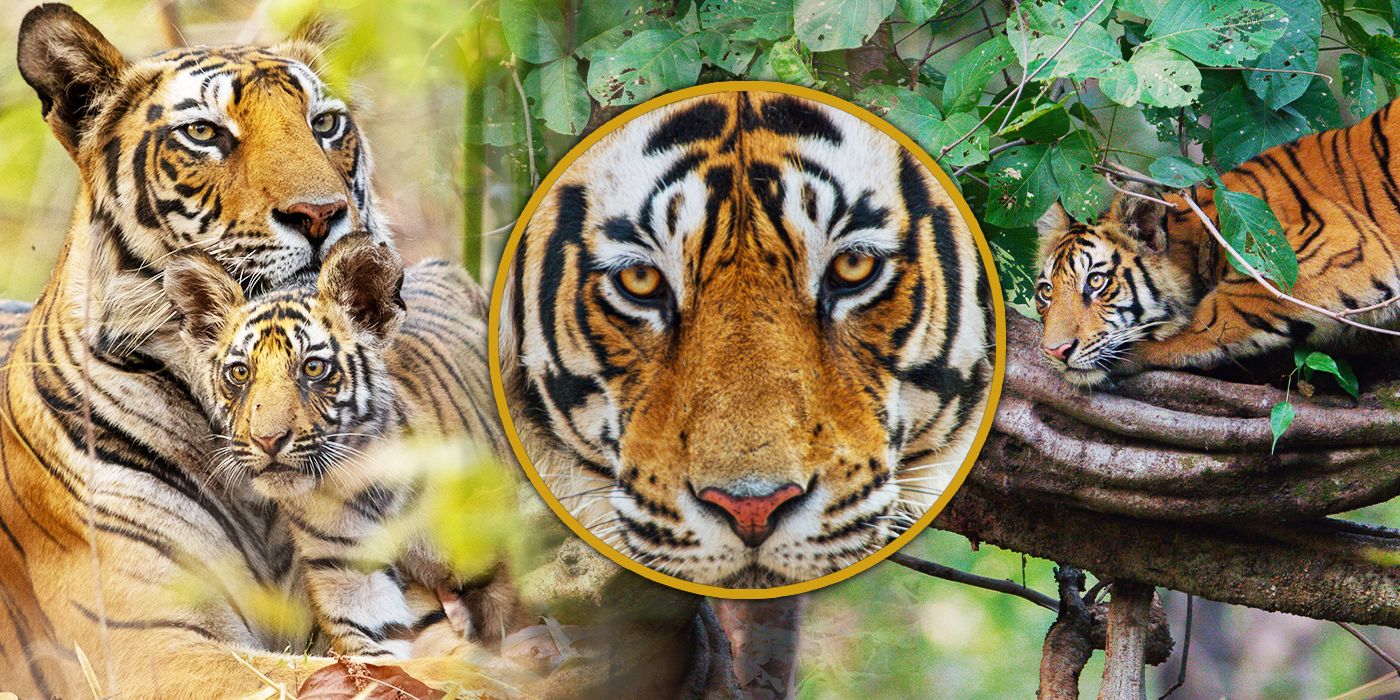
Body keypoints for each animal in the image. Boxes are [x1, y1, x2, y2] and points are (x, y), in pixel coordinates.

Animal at [1034, 100, 1400, 388]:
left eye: (1096, 281)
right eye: (1046, 292)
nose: (1055, 351)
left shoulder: (1336, 245)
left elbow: (1216, 313)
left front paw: (1144, 346)